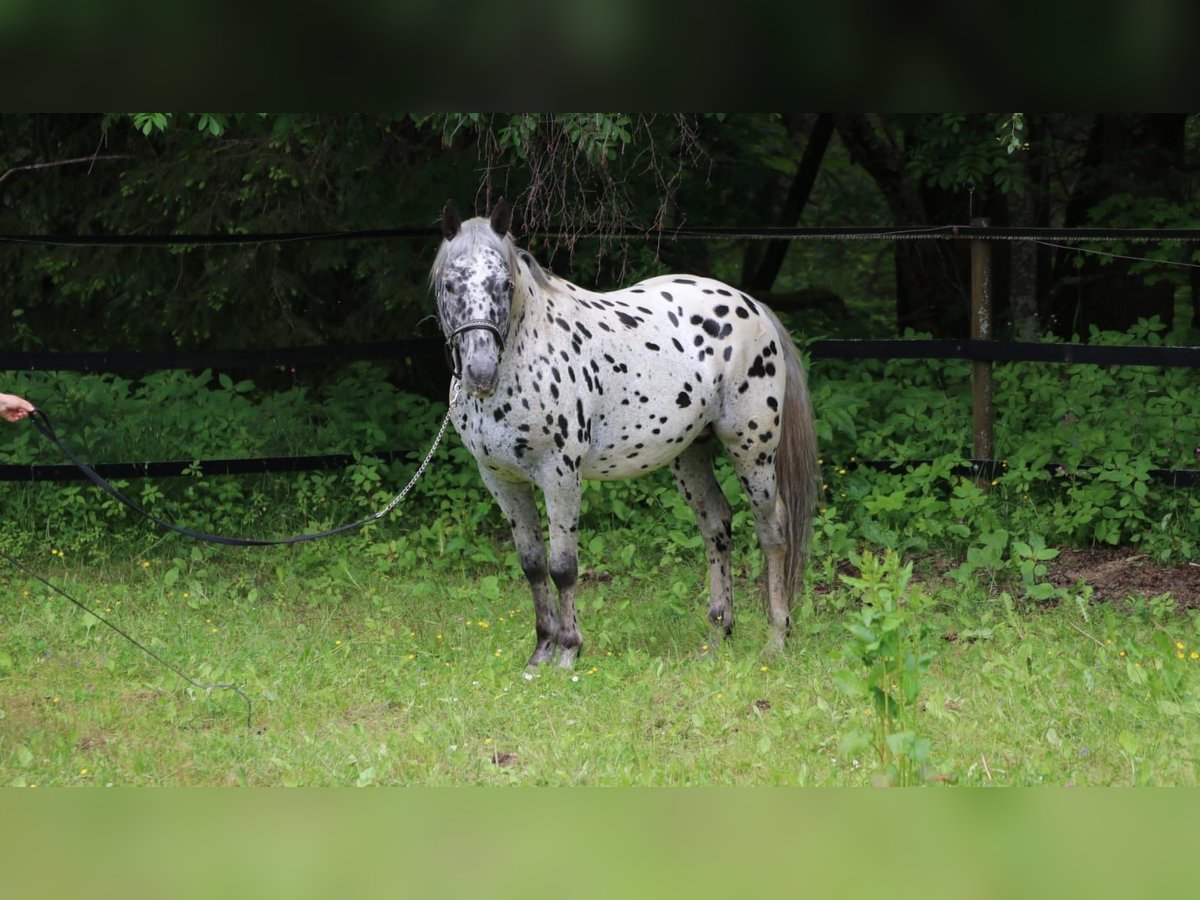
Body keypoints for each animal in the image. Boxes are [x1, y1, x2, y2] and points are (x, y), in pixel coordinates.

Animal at [434, 202, 825, 672]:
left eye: (505, 284)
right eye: (450, 284)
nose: (480, 373)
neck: (527, 354)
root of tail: (753, 306)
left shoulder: (560, 476)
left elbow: (563, 565)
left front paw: (568, 652)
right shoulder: (502, 481)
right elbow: (532, 565)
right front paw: (540, 654)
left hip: (752, 449)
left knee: (773, 531)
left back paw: (776, 638)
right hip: (691, 453)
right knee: (716, 523)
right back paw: (718, 634)